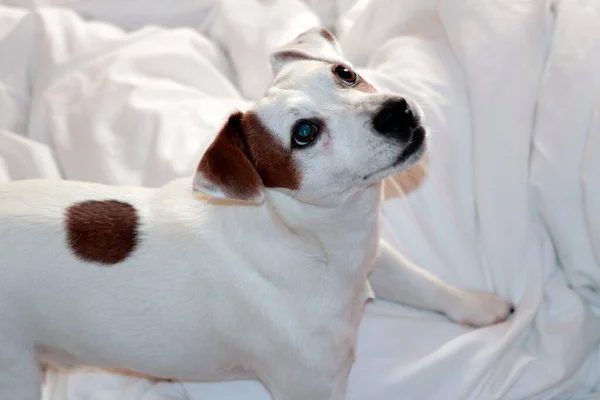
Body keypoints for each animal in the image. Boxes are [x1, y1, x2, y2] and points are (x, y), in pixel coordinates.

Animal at [1, 28, 510, 400]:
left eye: (345, 74)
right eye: (303, 133)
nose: (396, 110)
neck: (312, 243)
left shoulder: (377, 257)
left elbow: (424, 284)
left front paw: (477, 305)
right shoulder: (312, 384)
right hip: (17, 369)